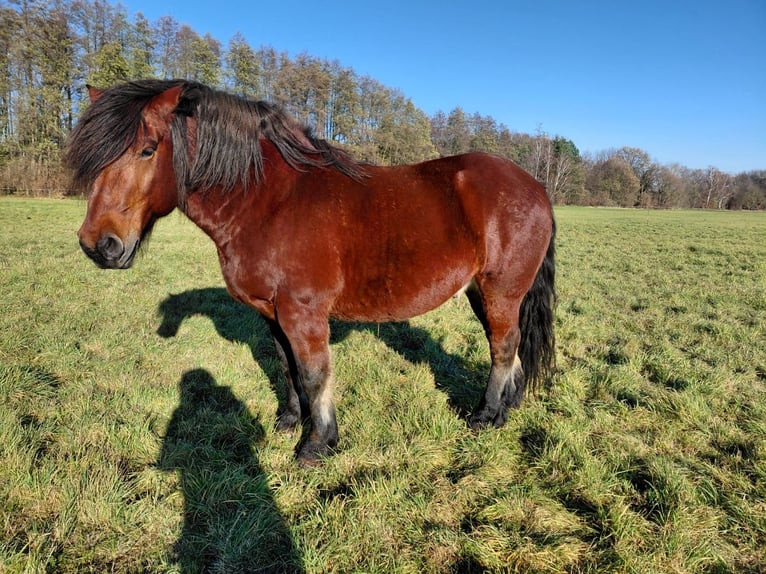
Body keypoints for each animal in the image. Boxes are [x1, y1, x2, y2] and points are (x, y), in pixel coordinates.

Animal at [65, 79, 556, 465]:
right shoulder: (272, 313)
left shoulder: (303, 313)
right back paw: (508, 407)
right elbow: (287, 368)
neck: (270, 201)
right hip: (481, 292)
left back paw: (486, 415)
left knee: (502, 347)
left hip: (501, 291)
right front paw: (289, 421)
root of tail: (534, 186)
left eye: (147, 150)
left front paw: (318, 444)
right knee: (510, 347)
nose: (99, 245)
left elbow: (315, 373)